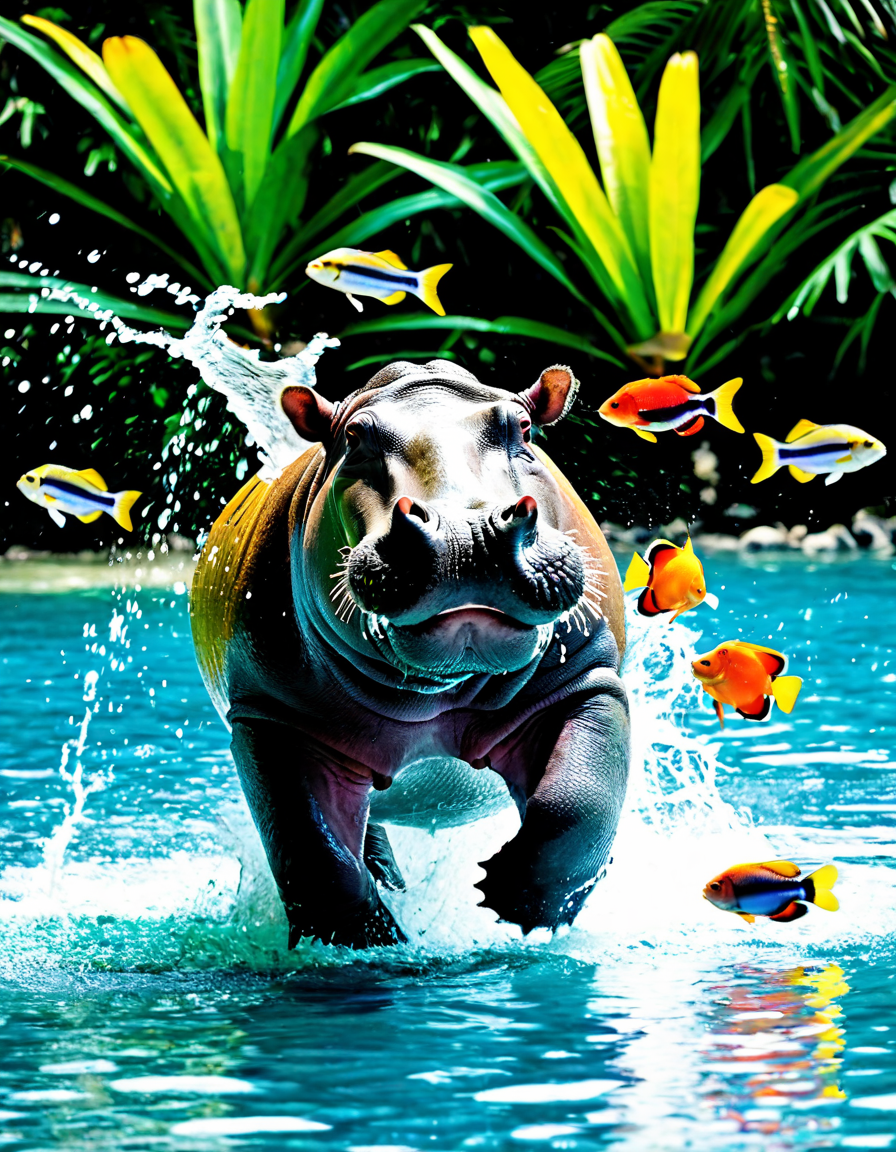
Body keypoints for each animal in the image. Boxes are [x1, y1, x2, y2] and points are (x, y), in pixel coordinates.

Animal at [190, 360, 629, 948]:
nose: (466, 533)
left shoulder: (587, 679)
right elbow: (313, 848)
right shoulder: (270, 717)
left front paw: (524, 905)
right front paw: (369, 943)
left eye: (523, 428)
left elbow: (577, 801)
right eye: (354, 437)